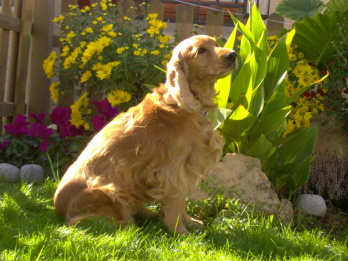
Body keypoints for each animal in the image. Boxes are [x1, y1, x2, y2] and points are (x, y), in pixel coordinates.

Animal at [54, 35, 238, 234]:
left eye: (216, 44)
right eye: (201, 51)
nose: (233, 54)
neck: (181, 105)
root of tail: (58, 209)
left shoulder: (187, 168)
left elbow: (182, 202)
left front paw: (190, 222)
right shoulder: (173, 170)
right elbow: (176, 203)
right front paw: (180, 232)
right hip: (111, 190)